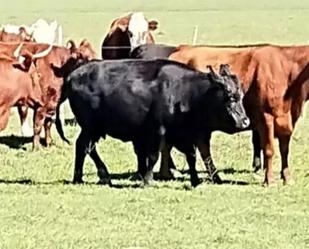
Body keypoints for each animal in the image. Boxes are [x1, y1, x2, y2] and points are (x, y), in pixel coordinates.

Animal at [55, 58, 248, 187]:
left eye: (241, 96)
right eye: (230, 97)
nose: (244, 121)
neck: (184, 92)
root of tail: (71, 76)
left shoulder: (186, 135)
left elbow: (192, 156)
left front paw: (195, 180)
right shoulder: (158, 131)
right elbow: (154, 156)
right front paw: (148, 179)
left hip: (93, 129)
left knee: (86, 147)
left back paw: (90, 176)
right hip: (90, 127)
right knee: (84, 147)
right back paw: (90, 176)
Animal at [164, 44, 309, 185]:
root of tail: (182, 48)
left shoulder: (288, 120)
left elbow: (284, 150)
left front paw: (287, 178)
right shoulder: (266, 118)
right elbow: (269, 150)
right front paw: (269, 180)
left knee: (202, 146)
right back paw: (170, 172)